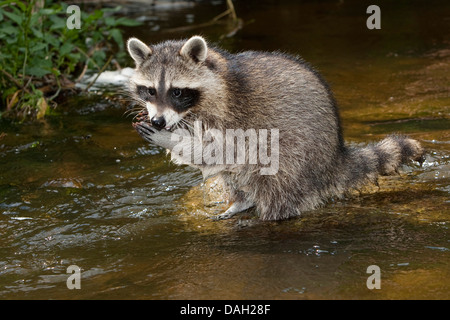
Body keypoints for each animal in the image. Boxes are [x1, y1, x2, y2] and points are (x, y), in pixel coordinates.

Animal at [127, 35, 426, 220]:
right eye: (150, 90)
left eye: (177, 91)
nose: (159, 121)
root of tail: (334, 157)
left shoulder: (233, 115)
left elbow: (219, 150)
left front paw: (168, 139)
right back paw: (242, 200)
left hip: (296, 155)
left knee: (276, 176)